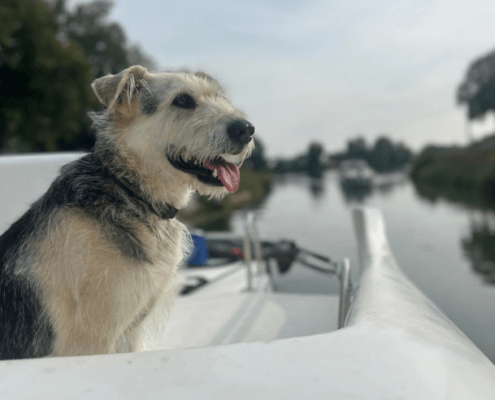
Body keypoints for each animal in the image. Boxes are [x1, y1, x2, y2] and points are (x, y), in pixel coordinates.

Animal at [0, 65, 256, 360]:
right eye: (182, 100)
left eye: (219, 97)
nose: (246, 129)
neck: (129, 189)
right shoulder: (91, 339)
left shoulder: (130, 329)